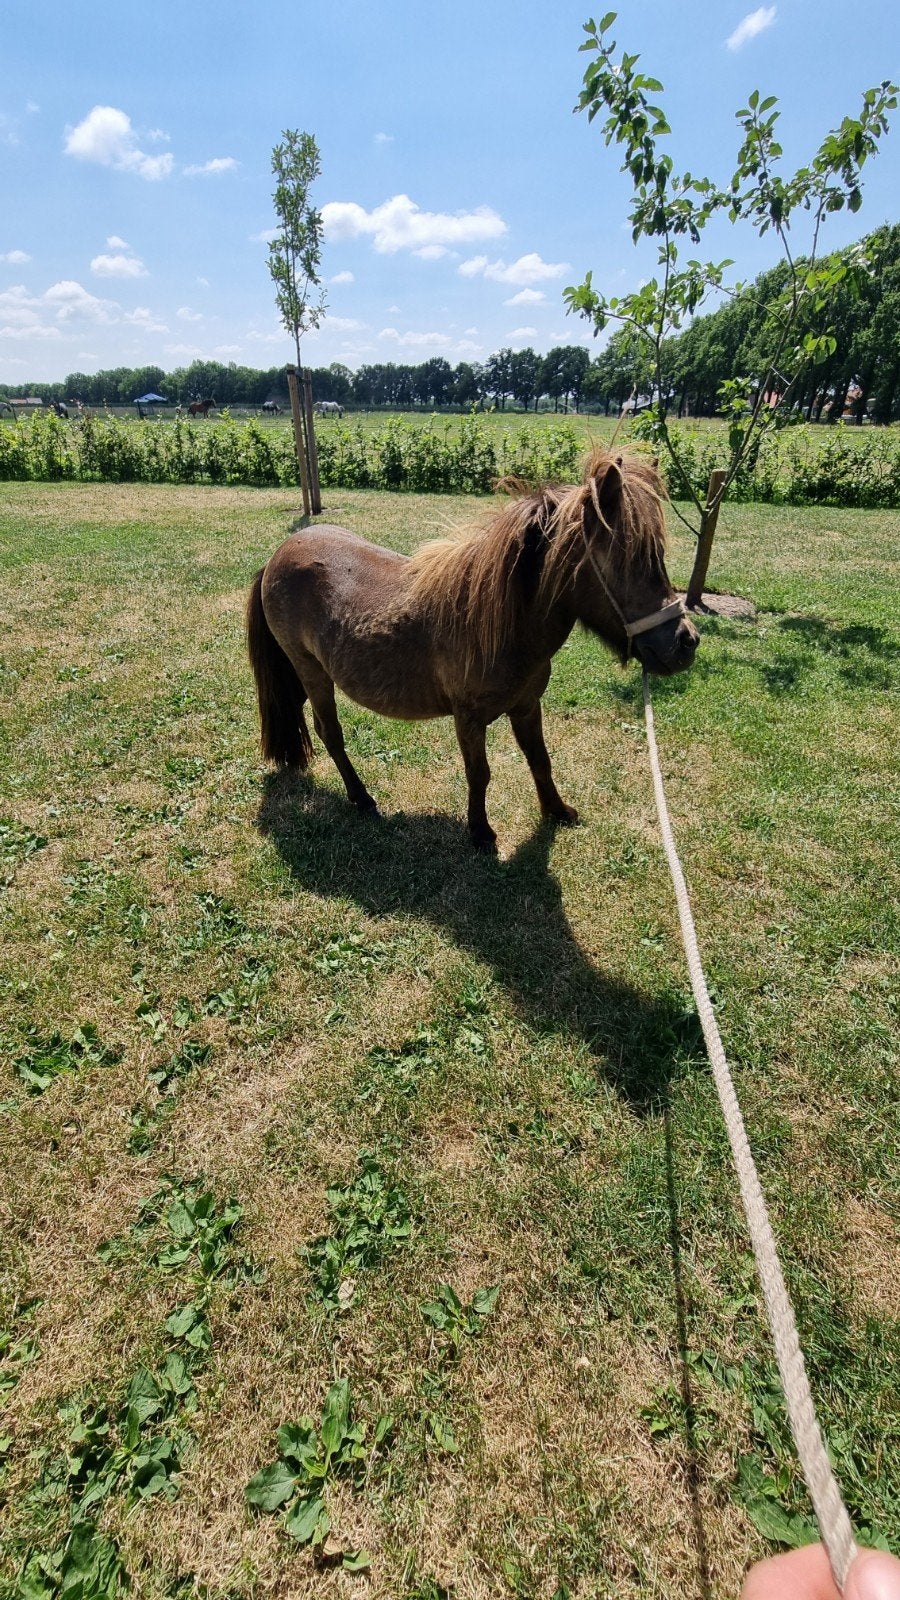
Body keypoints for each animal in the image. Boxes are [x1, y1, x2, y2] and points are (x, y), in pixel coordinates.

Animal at [247, 448, 699, 850]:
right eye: (630, 558)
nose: (686, 641)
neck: (501, 625)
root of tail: (277, 556)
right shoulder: (468, 719)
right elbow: (479, 773)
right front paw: (481, 833)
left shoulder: (526, 706)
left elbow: (540, 759)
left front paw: (557, 811)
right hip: (311, 670)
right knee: (330, 733)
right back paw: (362, 798)